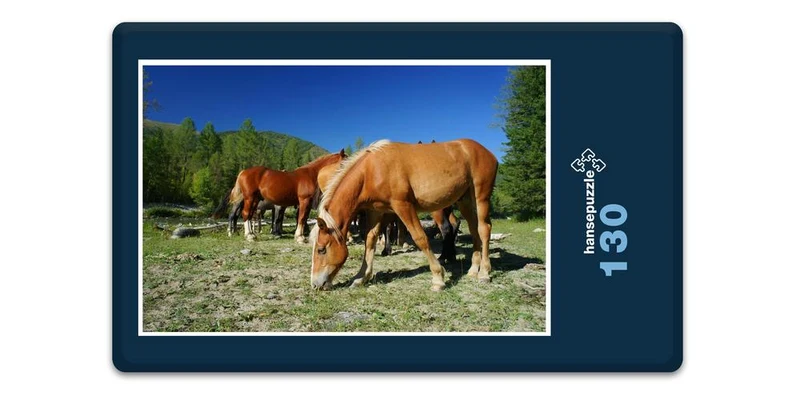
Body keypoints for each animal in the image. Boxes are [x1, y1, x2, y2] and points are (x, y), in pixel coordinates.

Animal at [215, 149, 346, 242]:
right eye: (345, 161)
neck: (310, 174)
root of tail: (243, 172)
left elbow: (302, 218)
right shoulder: (304, 201)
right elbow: (301, 218)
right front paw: (300, 237)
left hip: (255, 200)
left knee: (249, 215)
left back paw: (252, 234)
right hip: (249, 198)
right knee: (245, 214)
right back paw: (248, 236)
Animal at [310, 139, 498, 291]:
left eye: (321, 249)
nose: (315, 284)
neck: (372, 170)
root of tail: (487, 152)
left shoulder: (403, 206)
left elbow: (420, 238)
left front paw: (438, 278)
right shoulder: (376, 211)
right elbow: (369, 241)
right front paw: (361, 277)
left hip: (481, 198)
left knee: (484, 229)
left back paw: (484, 273)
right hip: (465, 200)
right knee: (474, 230)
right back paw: (473, 270)